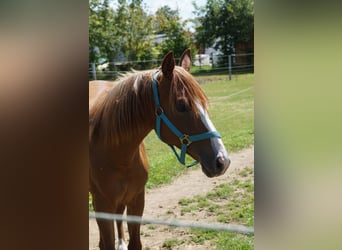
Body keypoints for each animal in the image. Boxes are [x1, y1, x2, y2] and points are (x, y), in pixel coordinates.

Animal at [89, 49, 231, 250]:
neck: (118, 154)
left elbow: (135, 243)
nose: (222, 161)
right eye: (181, 105)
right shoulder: (102, 205)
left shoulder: (137, 199)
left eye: (204, 102)